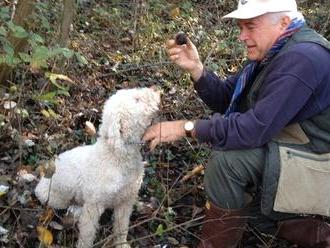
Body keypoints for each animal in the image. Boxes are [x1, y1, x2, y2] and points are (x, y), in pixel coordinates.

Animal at [34, 87, 160, 248]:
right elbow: (87, 234)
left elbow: (121, 226)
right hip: (54, 198)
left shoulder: (126, 200)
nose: (155, 90)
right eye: (136, 100)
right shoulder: (93, 206)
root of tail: (41, 180)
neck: (116, 156)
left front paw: (121, 244)